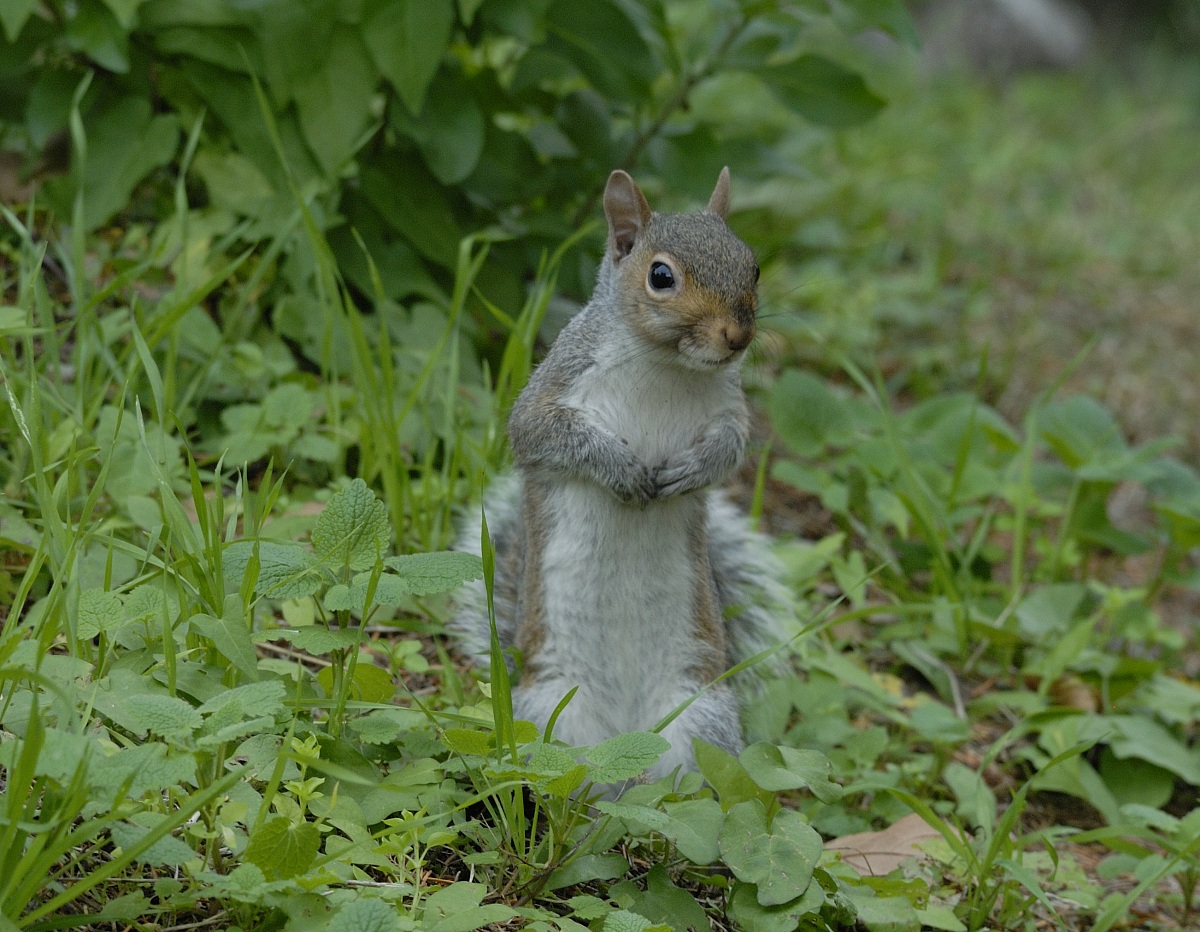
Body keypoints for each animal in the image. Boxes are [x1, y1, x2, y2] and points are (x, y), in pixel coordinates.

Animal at [452, 168, 790, 786]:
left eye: (752, 266)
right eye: (661, 276)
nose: (737, 336)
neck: (667, 367)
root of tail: (624, 744)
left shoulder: (729, 411)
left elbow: (728, 450)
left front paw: (689, 471)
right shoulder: (555, 389)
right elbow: (542, 434)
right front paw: (622, 469)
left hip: (699, 716)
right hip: (550, 717)